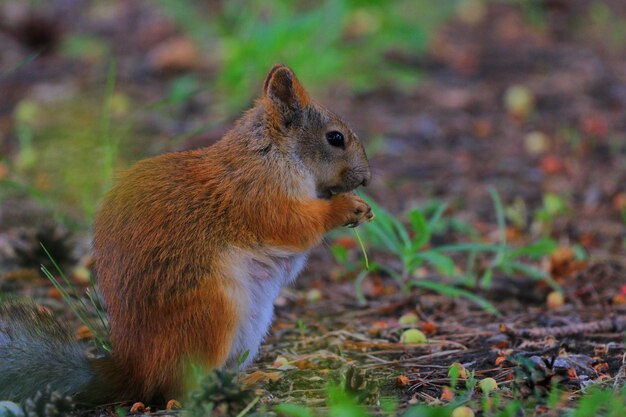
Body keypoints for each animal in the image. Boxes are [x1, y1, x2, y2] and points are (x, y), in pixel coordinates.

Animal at [0, 64, 370, 404]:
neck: (272, 152)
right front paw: (346, 207)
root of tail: (136, 371)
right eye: (335, 138)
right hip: (211, 313)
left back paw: (253, 378)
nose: (366, 178)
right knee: (179, 388)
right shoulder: (257, 196)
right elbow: (294, 226)